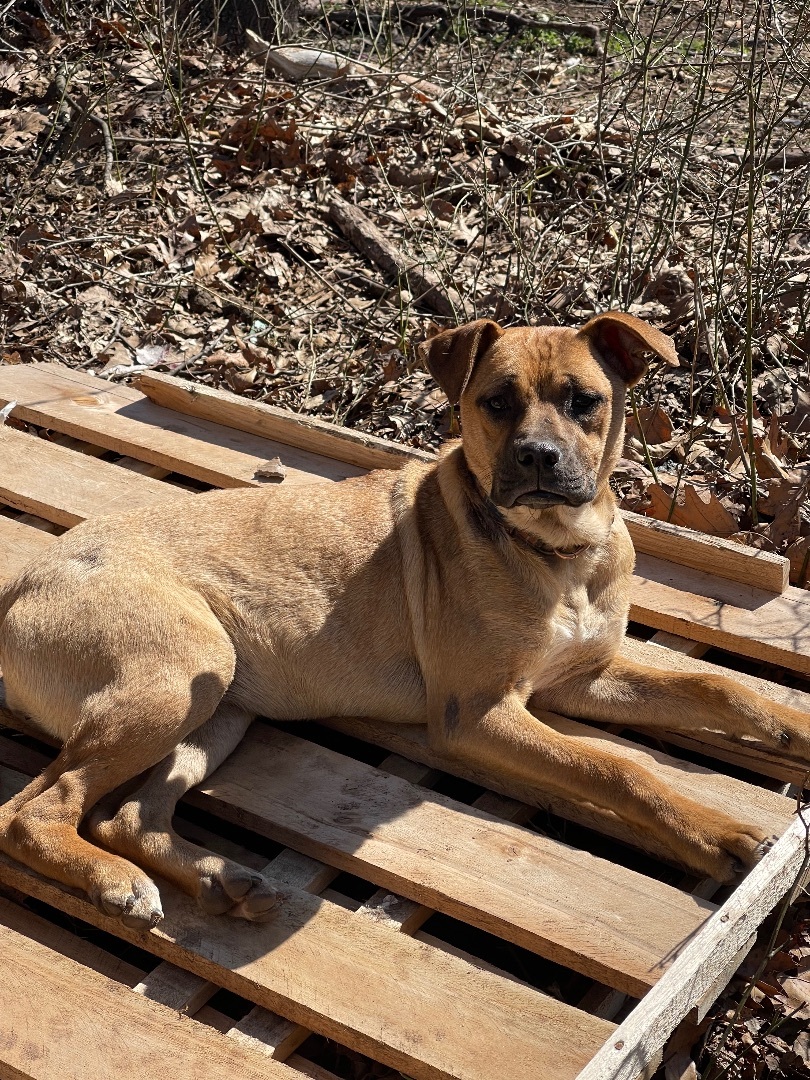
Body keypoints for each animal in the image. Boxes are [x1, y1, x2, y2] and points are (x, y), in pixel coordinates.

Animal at [1, 313, 810, 928]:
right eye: (495, 402)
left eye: (584, 400)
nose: (537, 457)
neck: (557, 553)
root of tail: (21, 581)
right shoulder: (478, 713)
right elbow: (614, 766)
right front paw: (717, 831)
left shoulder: (578, 679)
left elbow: (715, 688)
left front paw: (790, 730)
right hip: (177, 677)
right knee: (34, 810)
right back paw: (115, 882)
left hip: (218, 708)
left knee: (125, 817)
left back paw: (219, 879)